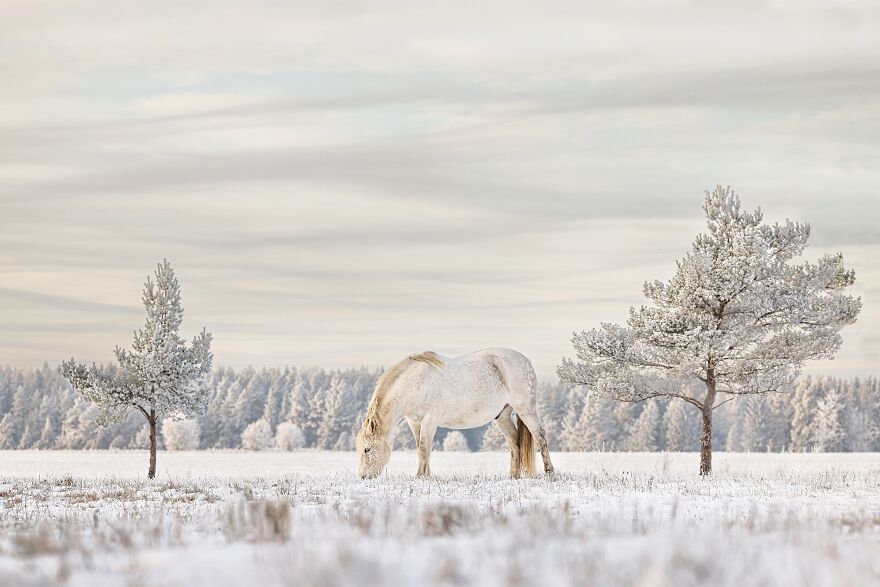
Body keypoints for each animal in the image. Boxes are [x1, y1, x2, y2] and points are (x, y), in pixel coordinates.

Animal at [355, 348, 555, 479]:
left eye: (367, 449)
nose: (363, 476)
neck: (414, 383)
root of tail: (526, 361)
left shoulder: (429, 421)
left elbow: (424, 449)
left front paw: (420, 477)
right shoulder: (414, 421)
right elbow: (422, 448)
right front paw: (426, 476)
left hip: (526, 410)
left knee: (540, 437)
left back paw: (550, 473)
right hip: (502, 416)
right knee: (515, 443)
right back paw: (513, 477)